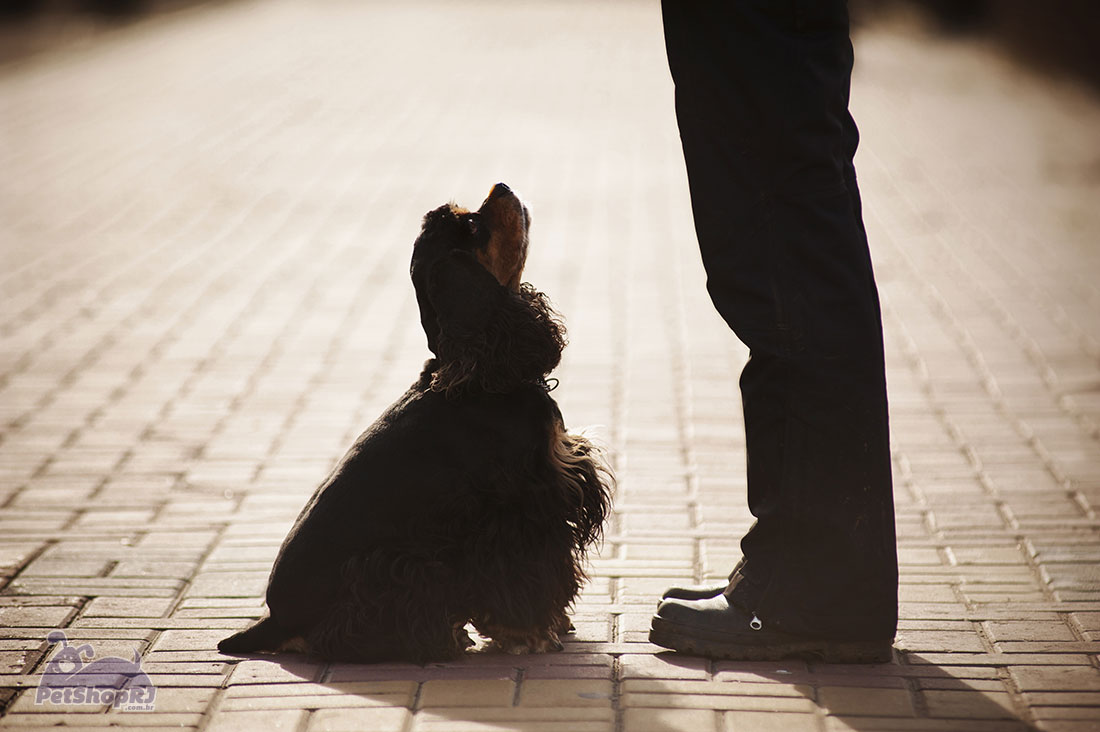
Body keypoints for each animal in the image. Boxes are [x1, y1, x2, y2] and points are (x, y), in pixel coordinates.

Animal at [218, 183, 616, 660]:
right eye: (472, 225)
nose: (501, 186)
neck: (483, 373)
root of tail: (275, 619)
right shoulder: (519, 507)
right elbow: (525, 571)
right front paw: (531, 633)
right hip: (394, 566)